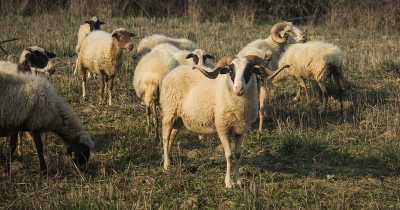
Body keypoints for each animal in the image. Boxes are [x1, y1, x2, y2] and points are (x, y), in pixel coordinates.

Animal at [159, 55, 288, 188]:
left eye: (250, 70)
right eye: (231, 70)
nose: (238, 88)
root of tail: (172, 72)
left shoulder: (240, 131)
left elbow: (237, 154)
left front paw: (239, 180)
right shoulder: (222, 128)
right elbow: (229, 155)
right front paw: (229, 182)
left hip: (179, 119)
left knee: (172, 136)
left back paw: (168, 159)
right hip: (169, 113)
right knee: (165, 138)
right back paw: (166, 165)